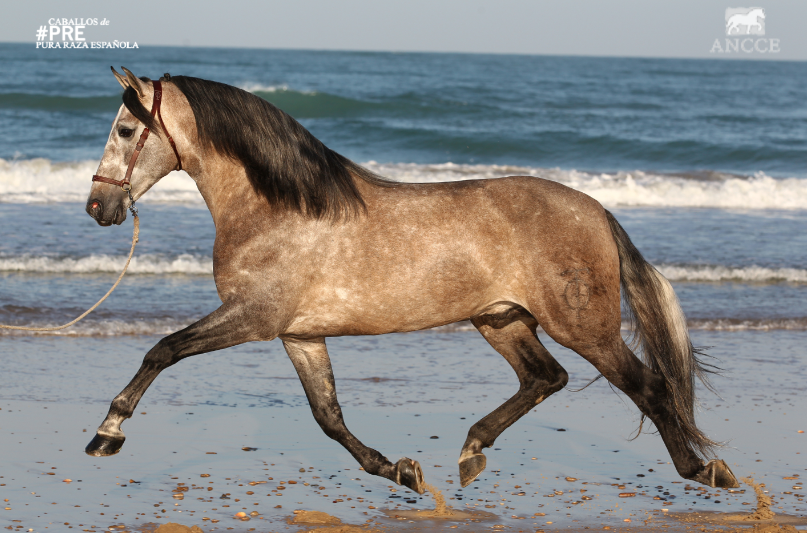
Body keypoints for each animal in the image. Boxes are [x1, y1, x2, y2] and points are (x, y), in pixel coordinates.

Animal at [84, 67, 739, 494]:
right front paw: (401, 471)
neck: (278, 208)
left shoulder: (252, 319)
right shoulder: (299, 334)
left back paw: (706, 471)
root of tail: (596, 210)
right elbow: (328, 416)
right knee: (545, 378)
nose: (97, 207)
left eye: (124, 130)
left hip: (582, 326)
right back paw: (471, 452)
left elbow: (163, 349)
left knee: (646, 385)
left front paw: (107, 434)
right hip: (500, 318)